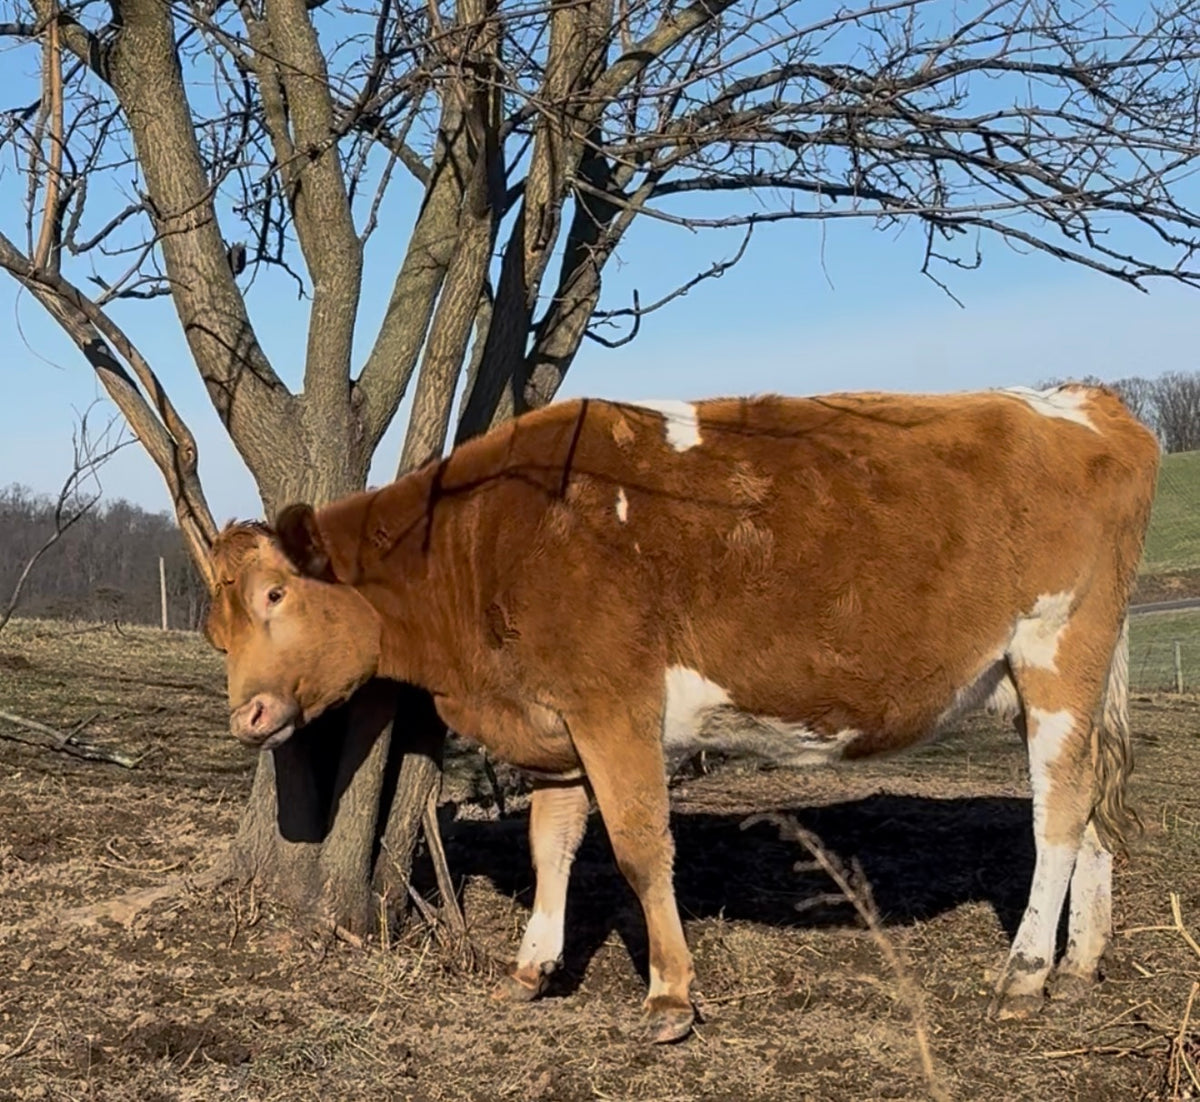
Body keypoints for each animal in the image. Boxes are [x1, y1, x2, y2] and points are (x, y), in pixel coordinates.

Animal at [203, 385, 1160, 1045]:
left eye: (277, 595)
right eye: (217, 628)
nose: (248, 716)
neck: (486, 539)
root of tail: (1084, 401)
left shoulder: (614, 703)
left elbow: (637, 844)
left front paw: (669, 994)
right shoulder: (557, 721)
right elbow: (552, 840)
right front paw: (533, 965)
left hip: (1057, 653)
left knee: (1060, 811)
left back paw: (1024, 973)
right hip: (1050, 681)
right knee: (1090, 802)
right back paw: (1081, 962)